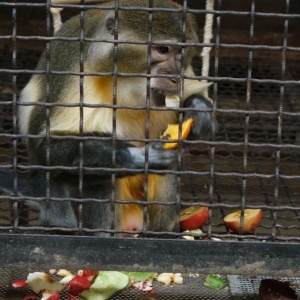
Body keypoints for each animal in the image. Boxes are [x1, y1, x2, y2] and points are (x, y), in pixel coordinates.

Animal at [0, 0, 213, 234]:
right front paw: (135, 158)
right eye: (163, 49)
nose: (176, 77)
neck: (126, 84)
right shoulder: (75, 71)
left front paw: (198, 107)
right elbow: (45, 147)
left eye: (180, 53)